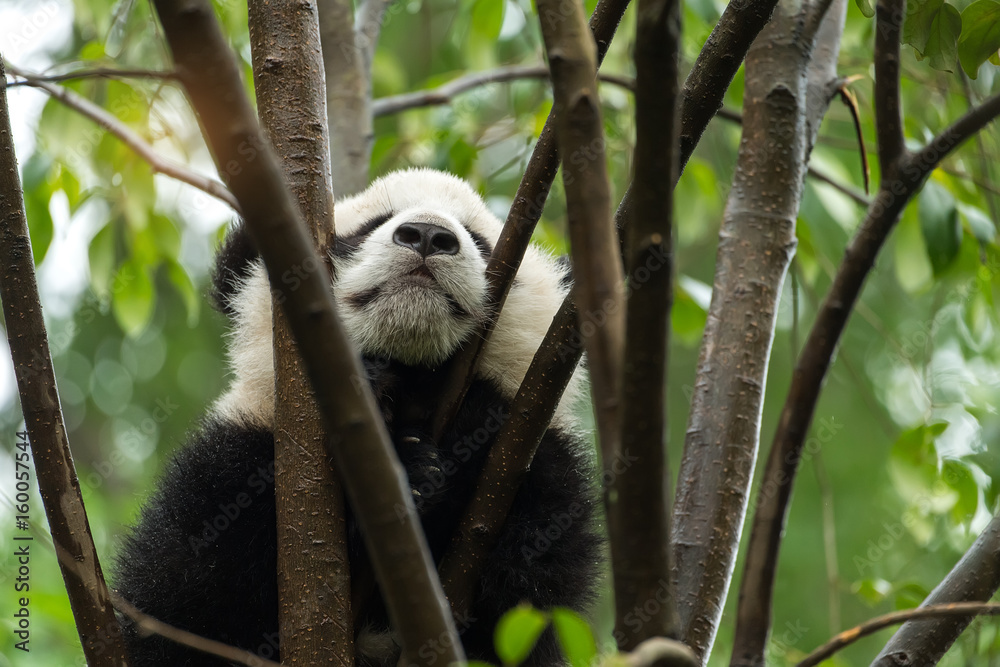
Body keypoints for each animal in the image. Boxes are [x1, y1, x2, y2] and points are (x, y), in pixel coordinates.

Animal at [113, 168, 602, 666]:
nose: (428, 234)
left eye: (483, 242)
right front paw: (391, 433)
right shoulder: (232, 464)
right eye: (369, 227)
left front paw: (446, 449)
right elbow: (189, 609)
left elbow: (523, 594)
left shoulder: (539, 465)